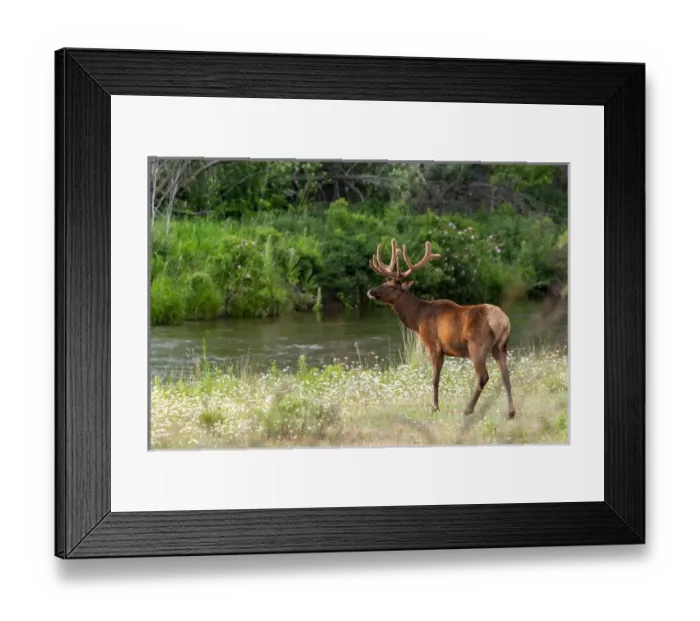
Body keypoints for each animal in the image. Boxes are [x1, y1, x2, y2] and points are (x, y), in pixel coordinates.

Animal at [367, 239, 516, 419]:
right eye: (383, 282)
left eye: (390, 286)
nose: (370, 291)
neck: (417, 319)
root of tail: (503, 321)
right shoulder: (444, 350)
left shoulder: (433, 345)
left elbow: (435, 379)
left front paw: (434, 407)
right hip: (501, 346)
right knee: (506, 375)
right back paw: (511, 412)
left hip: (477, 345)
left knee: (483, 376)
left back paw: (468, 409)